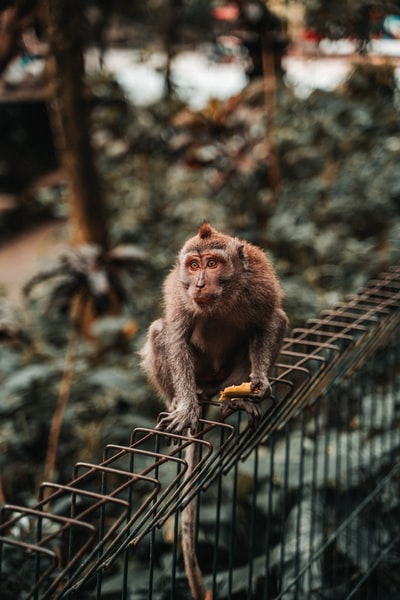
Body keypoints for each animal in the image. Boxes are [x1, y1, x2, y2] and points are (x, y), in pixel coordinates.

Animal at [141, 223, 288, 600]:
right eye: (193, 265)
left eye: (212, 263)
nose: (198, 284)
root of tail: (209, 386)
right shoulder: (179, 295)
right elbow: (175, 336)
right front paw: (185, 408)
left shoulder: (261, 284)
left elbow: (267, 323)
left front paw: (259, 381)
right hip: (200, 374)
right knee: (160, 330)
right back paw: (184, 400)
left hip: (222, 376)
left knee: (274, 324)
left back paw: (235, 399)